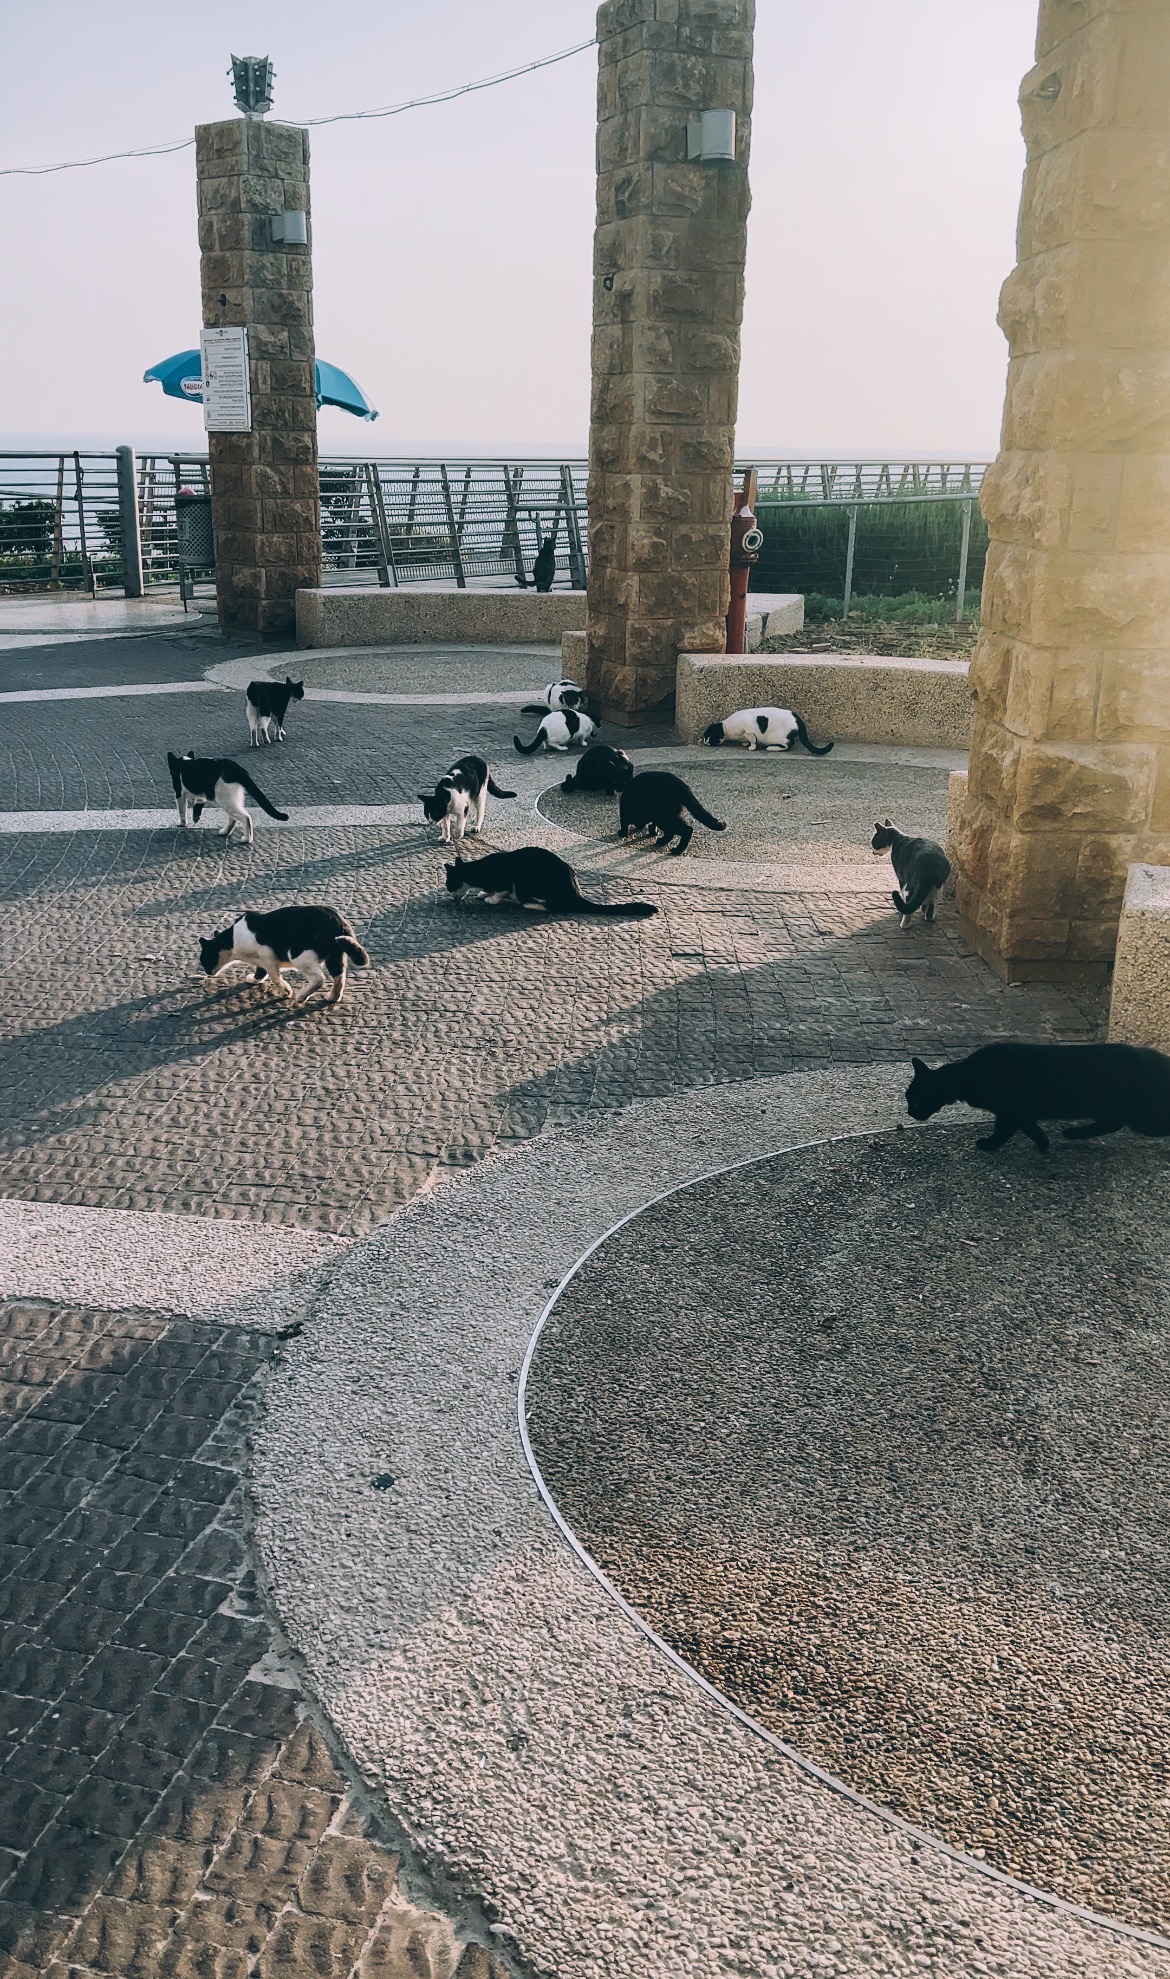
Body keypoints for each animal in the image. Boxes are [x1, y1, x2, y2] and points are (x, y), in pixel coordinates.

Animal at [198, 906, 368, 1013]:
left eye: (204, 959)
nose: (206, 971)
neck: (233, 942)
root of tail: (338, 921)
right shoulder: (262, 960)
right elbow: (261, 972)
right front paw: (254, 980)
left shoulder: (267, 954)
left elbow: (274, 976)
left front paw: (286, 991)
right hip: (335, 957)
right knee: (339, 978)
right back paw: (333, 997)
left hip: (299, 955)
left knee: (319, 978)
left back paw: (301, 996)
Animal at [445, 843, 653, 918]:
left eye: (448, 884)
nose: (450, 895)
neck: (478, 870)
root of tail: (575, 892)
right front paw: (483, 892)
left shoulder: (507, 880)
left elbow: (501, 891)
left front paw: (491, 898)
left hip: (526, 881)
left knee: (554, 906)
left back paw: (528, 904)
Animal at [906, 1044, 1170, 1155]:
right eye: (908, 1100)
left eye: (915, 1101)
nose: (909, 1113)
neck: (969, 1075)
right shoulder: (1020, 1113)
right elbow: (1031, 1128)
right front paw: (1043, 1142)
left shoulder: (1011, 1112)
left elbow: (1004, 1131)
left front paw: (988, 1145)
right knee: (1111, 1123)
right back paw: (1072, 1134)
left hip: (1144, 1116)